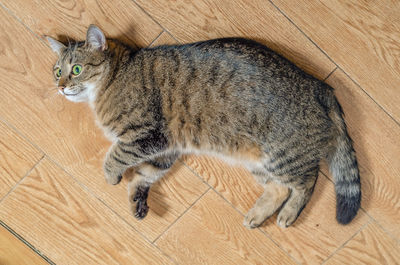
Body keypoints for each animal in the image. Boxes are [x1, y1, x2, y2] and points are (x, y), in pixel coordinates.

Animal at [45, 24, 360, 227]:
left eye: (76, 69)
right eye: (57, 71)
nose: (60, 87)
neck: (114, 79)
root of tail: (319, 86)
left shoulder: (148, 136)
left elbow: (115, 156)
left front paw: (112, 176)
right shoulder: (165, 148)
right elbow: (146, 174)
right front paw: (137, 197)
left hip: (283, 155)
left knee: (307, 181)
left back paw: (289, 214)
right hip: (259, 162)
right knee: (279, 188)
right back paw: (258, 215)